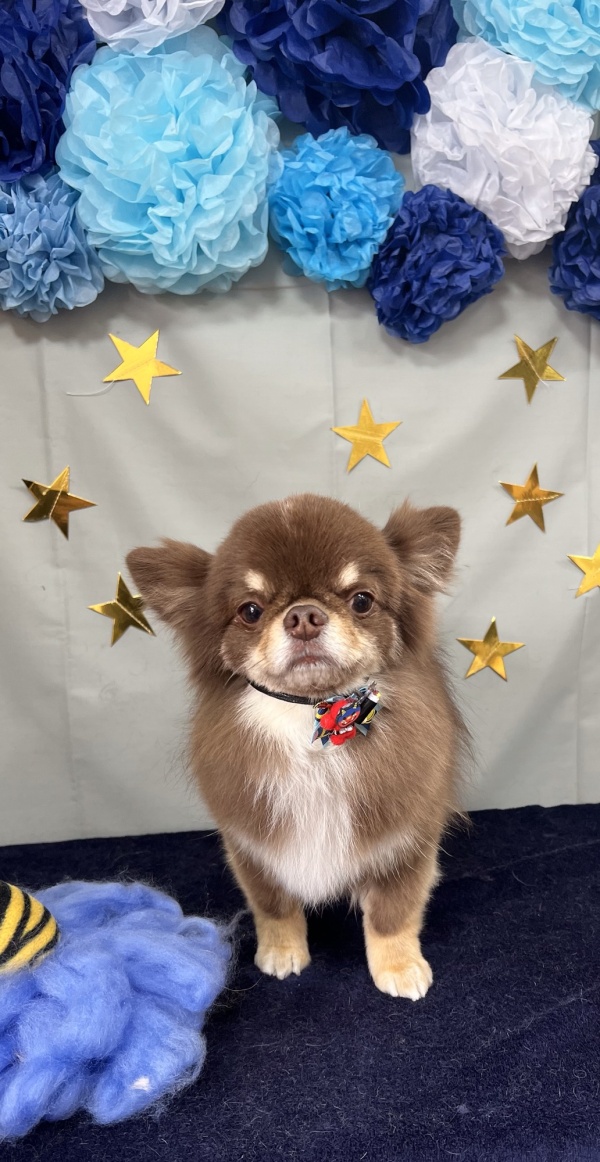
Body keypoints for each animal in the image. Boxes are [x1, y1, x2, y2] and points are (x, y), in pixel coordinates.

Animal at [127, 494, 464, 999]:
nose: (304, 615)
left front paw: (399, 966)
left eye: (361, 600)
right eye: (250, 610)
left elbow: (392, 914)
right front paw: (282, 952)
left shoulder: (406, 844)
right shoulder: (253, 845)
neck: (313, 718)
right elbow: (274, 907)